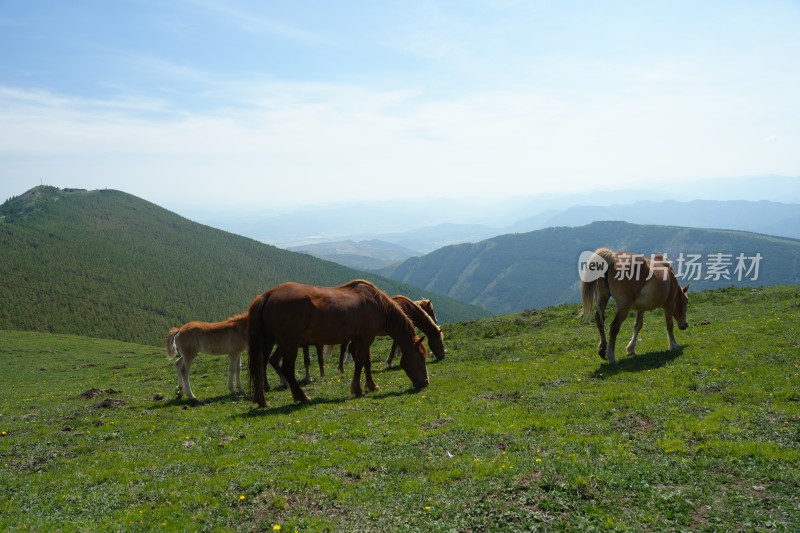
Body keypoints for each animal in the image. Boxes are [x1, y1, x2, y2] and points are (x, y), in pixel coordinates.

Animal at [248, 280, 432, 406]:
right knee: (286, 368)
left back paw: (266, 399)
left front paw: (371, 386)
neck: (377, 303)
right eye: (420, 357)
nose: (425, 382)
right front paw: (357, 389)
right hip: (289, 344)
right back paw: (303, 396)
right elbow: (360, 363)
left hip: (271, 342)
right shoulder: (367, 337)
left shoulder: (361, 338)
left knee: (262, 365)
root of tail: (267, 295)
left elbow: (366, 362)